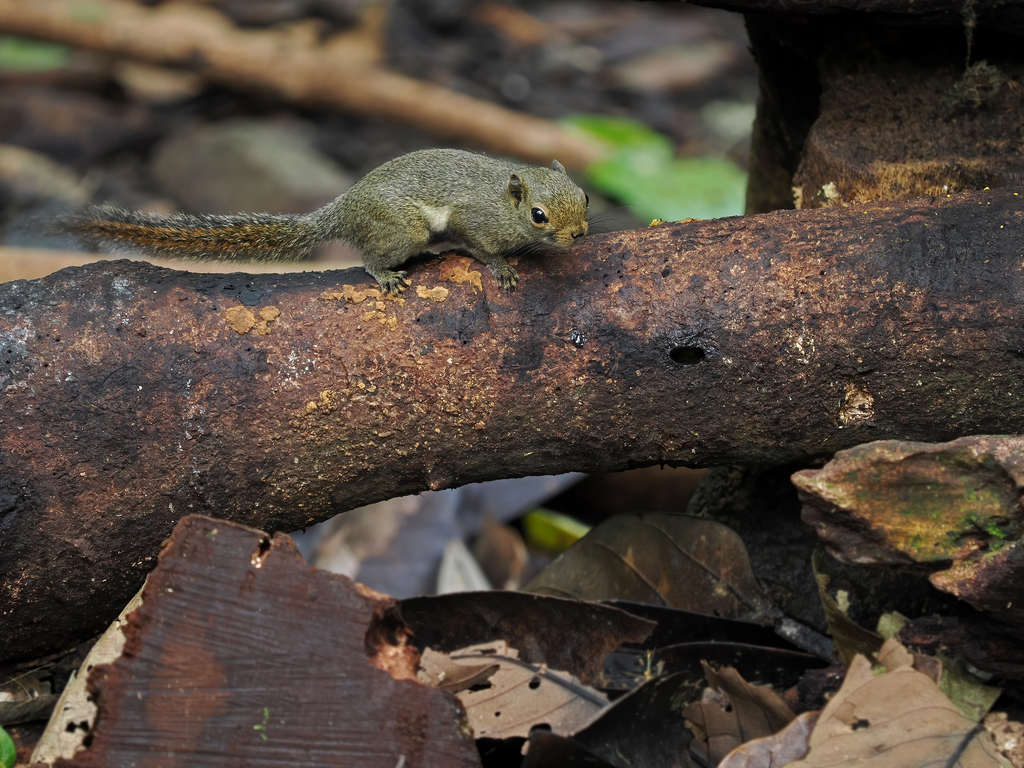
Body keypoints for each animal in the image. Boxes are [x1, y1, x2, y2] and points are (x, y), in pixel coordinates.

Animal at [56, 148, 590, 295]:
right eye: (539, 216)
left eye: (585, 196)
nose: (580, 234)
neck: (505, 200)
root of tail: (343, 210)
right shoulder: (475, 219)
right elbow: (480, 247)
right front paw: (500, 267)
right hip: (402, 228)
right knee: (371, 258)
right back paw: (386, 274)